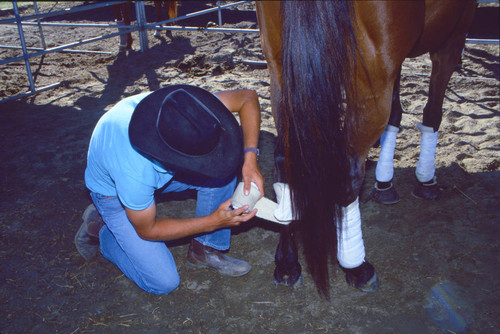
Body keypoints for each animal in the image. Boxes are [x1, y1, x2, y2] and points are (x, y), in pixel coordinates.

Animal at [256, 0, 478, 298]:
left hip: (280, 69)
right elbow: (432, 113)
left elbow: (395, 113)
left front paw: (385, 183)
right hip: (373, 73)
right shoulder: (451, 40)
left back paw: (287, 263)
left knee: (285, 163)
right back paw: (356, 266)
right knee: (348, 171)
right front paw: (425, 179)